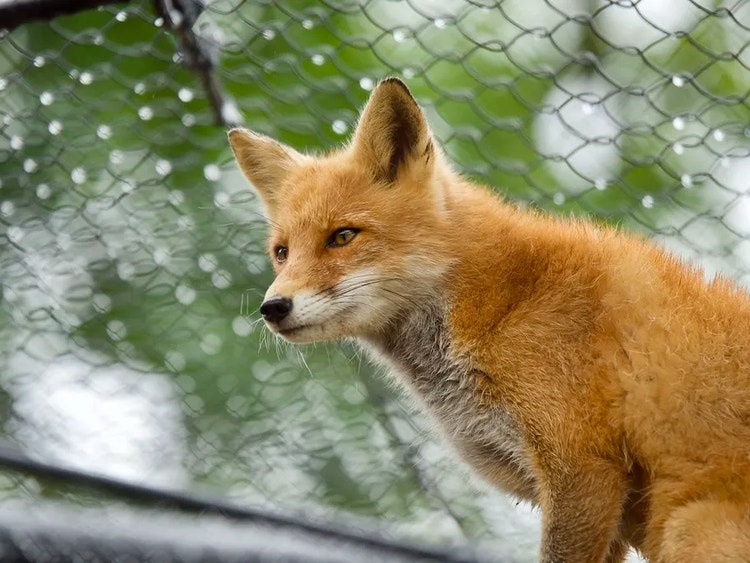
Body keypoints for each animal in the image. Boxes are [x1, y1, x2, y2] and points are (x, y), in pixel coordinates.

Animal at [228, 78, 750, 563]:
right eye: (281, 252)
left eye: (342, 236)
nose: (272, 308)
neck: (500, 304)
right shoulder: (603, 506)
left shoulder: (583, 469)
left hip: (687, 526)